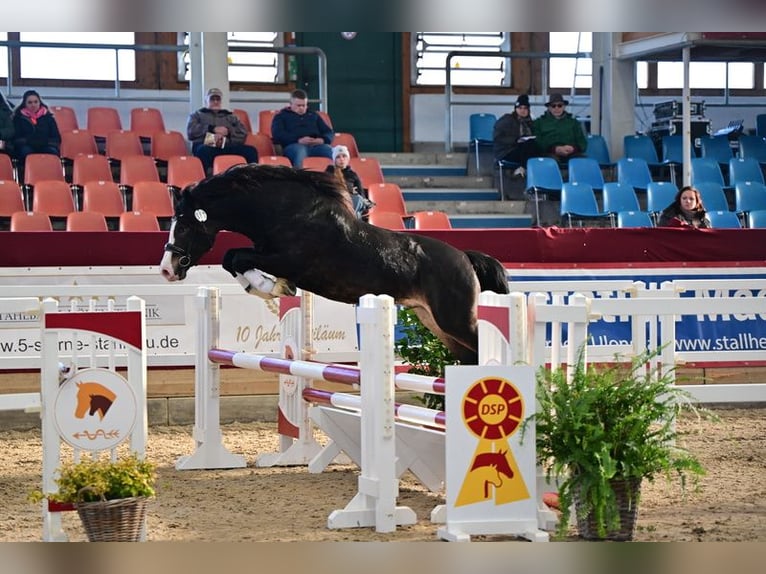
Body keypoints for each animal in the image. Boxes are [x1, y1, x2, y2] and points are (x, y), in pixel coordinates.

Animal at [160, 164, 510, 366]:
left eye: (185, 225)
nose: (167, 268)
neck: (285, 211)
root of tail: (465, 258)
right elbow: (232, 259)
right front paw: (269, 287)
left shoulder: (289, 260)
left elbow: (235, 256)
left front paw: (272, 287)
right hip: (434, 321)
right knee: (470, 357)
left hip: (456, 320)